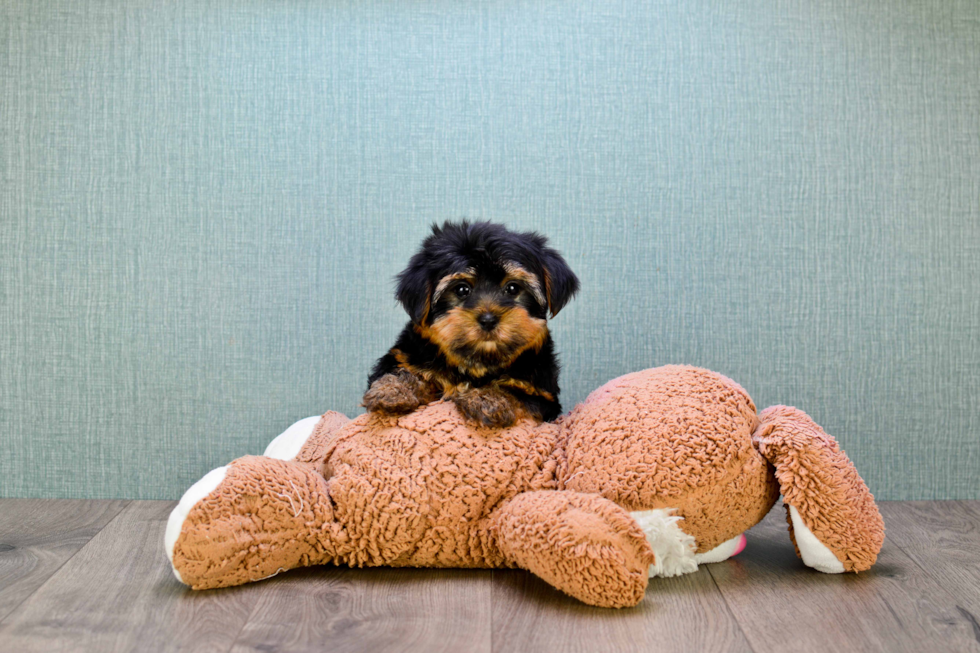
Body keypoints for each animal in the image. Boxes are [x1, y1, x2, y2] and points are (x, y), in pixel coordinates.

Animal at [364, 222, 580, 428]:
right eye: (462, 289)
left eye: (512, 288)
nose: (488, 319)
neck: (478, 361)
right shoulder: (406, 354)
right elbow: (405, 370)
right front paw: (393, 389)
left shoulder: (542, 394)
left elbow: (517, 393)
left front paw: (489, 399)